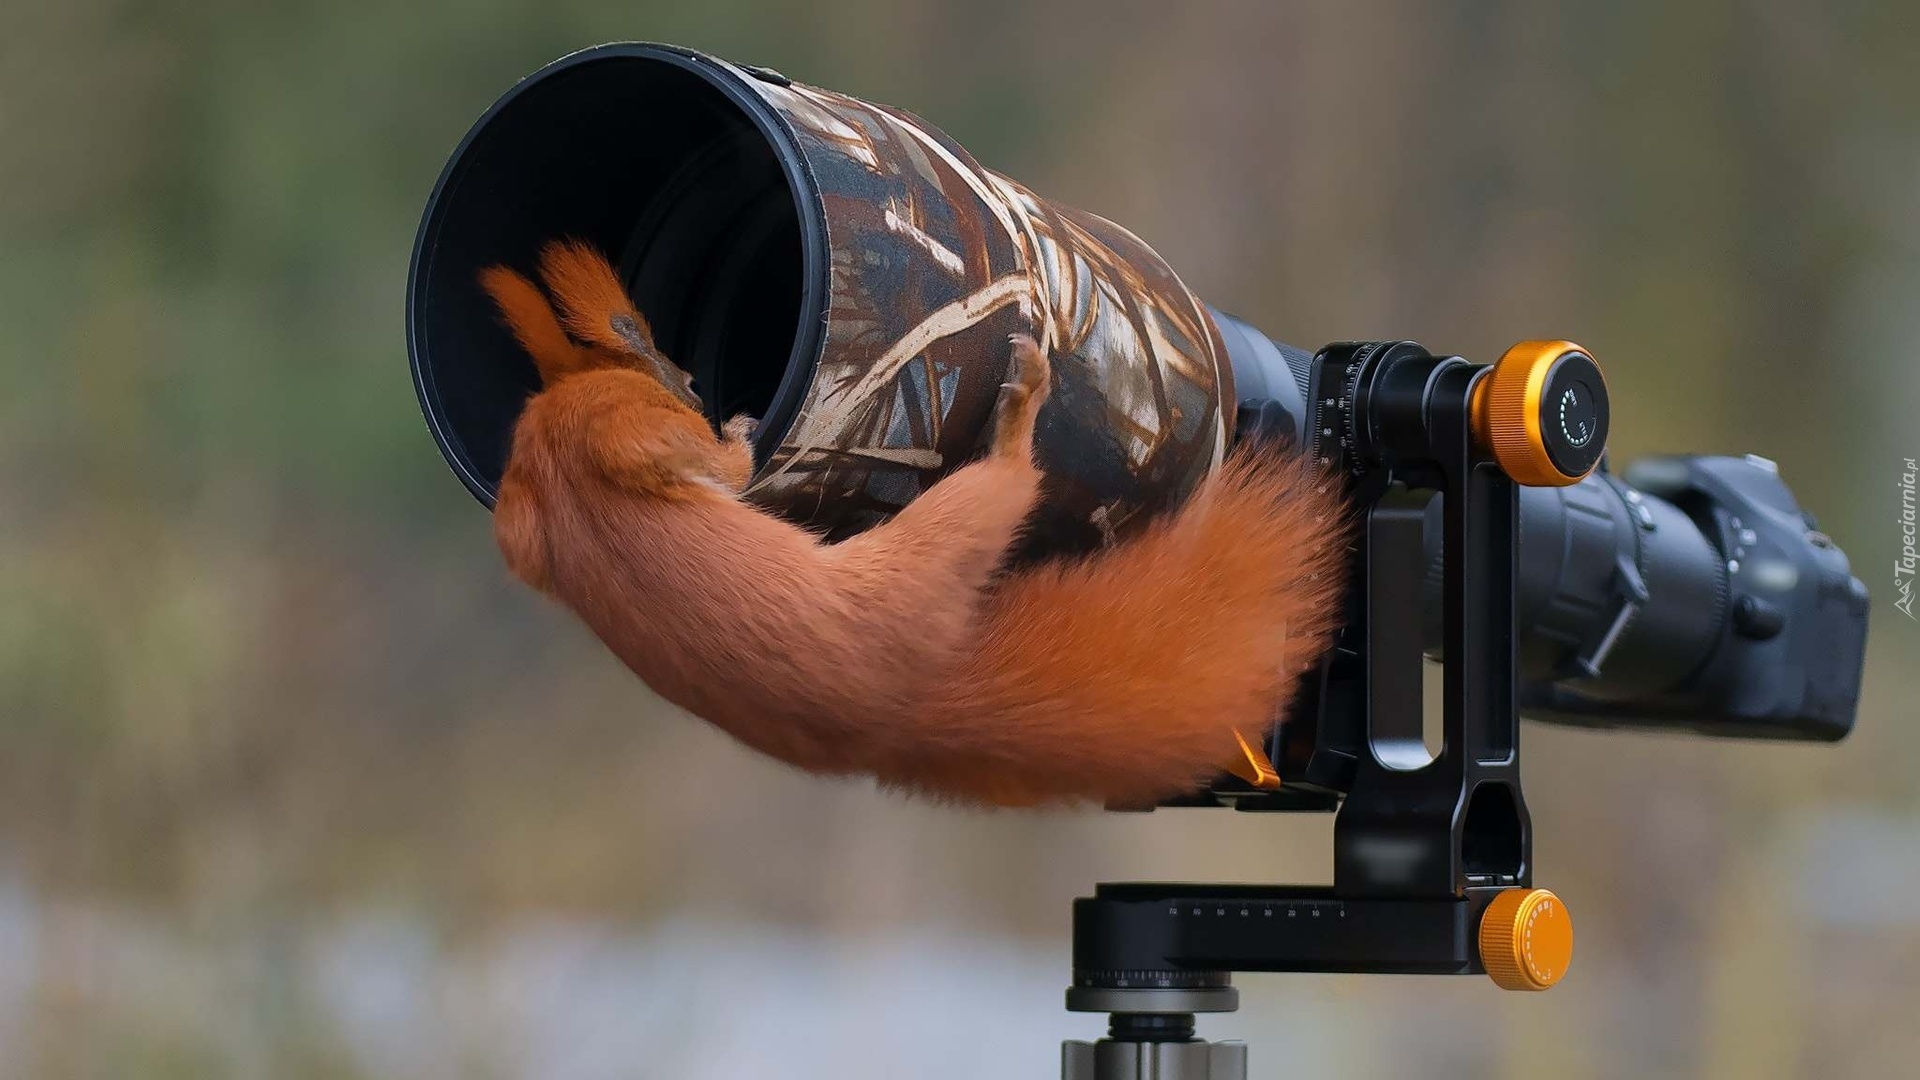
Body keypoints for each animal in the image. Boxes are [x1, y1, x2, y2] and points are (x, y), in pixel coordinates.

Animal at [480, 239, 1351, 803]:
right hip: (941, 533)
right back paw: (1021, 403)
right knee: (1009, 480)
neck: (564, 483)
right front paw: (739, 433)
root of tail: (909, 707)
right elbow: (721, 468)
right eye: (646, 366)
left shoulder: (531, 519)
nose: (694, 381)